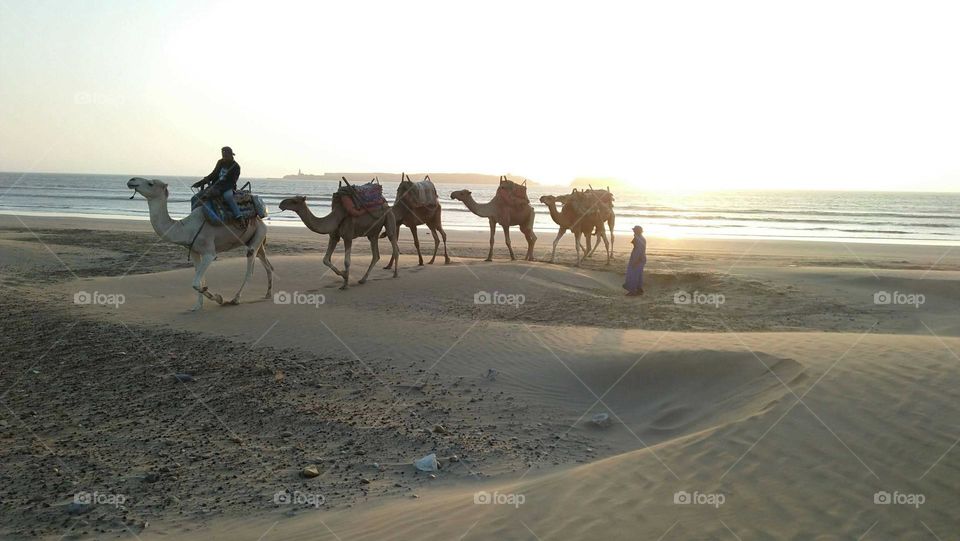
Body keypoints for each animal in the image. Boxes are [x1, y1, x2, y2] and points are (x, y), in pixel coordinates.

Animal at [125, 177, 272, 310]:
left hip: (257, 235)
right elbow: (200, 281)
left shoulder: (209, 252)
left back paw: (235, 299)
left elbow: (196, 282)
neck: (186, 228)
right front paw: (197, 306)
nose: (131, 180)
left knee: (250, 269)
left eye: (150, 183)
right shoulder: (195, 252)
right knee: (267, 265)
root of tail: (261, 218)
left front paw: (218, 298)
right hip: (257, 239)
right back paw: (268, 294)